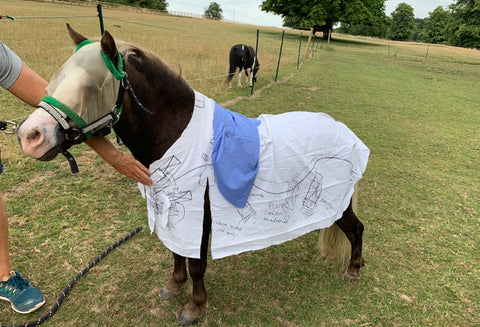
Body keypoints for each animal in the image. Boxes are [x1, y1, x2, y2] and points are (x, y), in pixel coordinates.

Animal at [15, 25, 368, 326]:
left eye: (90, 86)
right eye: (54, 79)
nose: (30, 136)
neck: (177, 135)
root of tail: (343, 131)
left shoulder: (202, 216)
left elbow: (197, 262)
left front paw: (195, 306)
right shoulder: (174, 211)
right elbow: (176, 252)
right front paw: (173, 287)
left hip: (338, 200)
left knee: (356, 229)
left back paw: (353, 271)